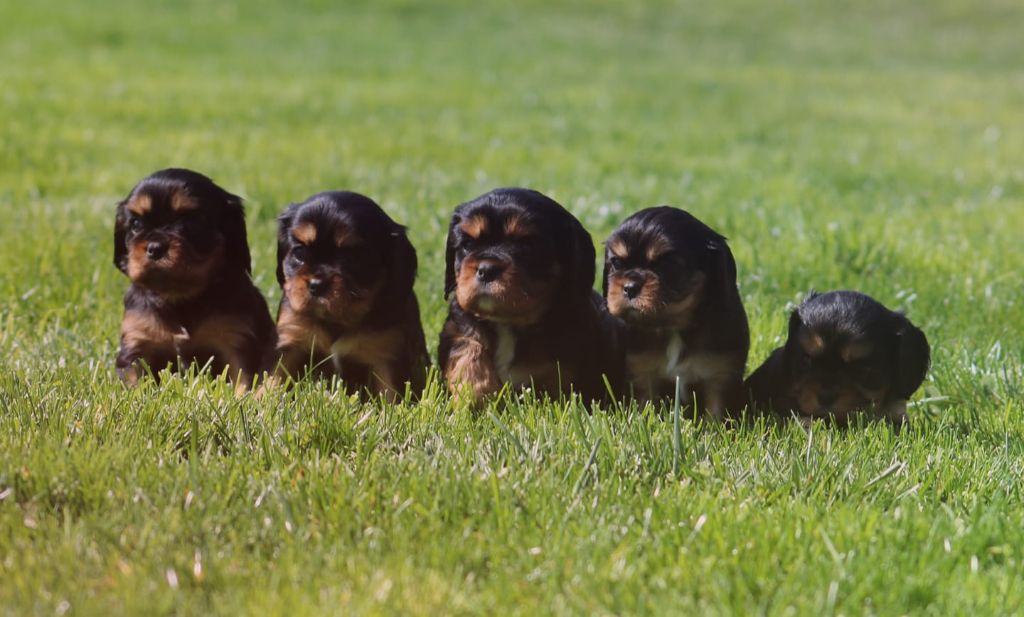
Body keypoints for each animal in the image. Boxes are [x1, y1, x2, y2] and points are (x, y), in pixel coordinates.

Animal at [113, 167, 276, 390]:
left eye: (192, 222)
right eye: (136, 224)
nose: (155, 247)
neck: (180, 297)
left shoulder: (236, 339)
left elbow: (243, 379)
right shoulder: (137, 341)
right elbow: (134, 381)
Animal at [268, 190, 428, 399]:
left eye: (350, 257)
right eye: (300, 252)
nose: (316, 284)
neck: (337, 320)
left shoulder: (386, 354)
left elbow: (390, 394)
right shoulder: (289, 339)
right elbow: (271, 379)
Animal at [434, 186, 618, 403]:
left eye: (527, 246)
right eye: (468, 244)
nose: (486, 270)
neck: (507, 321)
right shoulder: (457, 327)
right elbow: (467, 350)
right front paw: (477, 396)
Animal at [602, 207, 749, 419]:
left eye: (666, 265)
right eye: (616, 263)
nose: (630, 288)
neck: (672, 327)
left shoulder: (720, 375)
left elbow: (716, 415)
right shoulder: (642, 373)